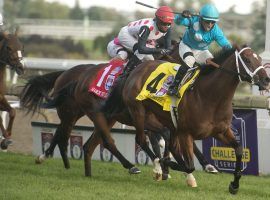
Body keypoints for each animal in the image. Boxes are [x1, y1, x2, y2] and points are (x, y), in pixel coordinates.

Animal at [106, 45, 268, 194]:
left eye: (259, 59)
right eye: (247, 60)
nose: (266, 80)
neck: (210, 97)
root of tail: (137, 68)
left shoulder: (220, 131)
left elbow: (239, 150)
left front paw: (234, 185)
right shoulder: (186, 133)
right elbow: (190, 165)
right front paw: (166, 165)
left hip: (161, 120)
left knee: (167, 142)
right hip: (138, 112)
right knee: (141, 139)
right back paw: (159, 169)